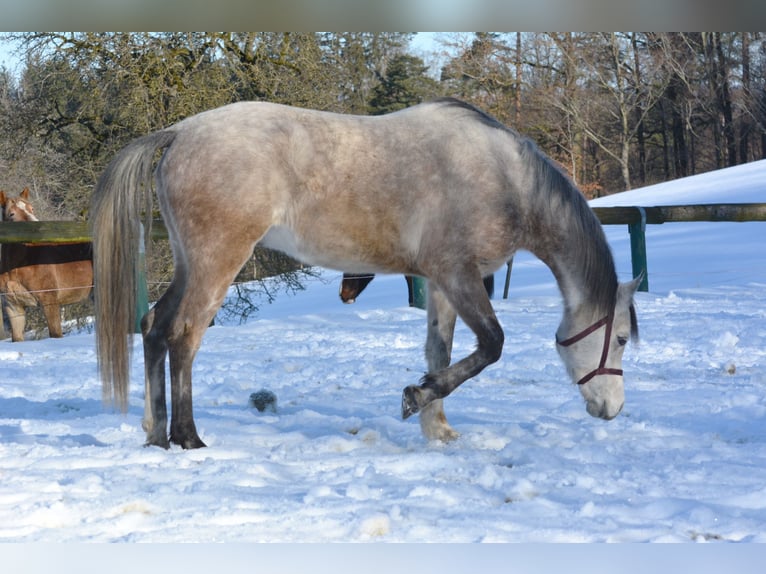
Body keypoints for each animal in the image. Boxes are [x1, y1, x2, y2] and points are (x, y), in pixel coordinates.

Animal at [91, 97, 640, 450]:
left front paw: (434, 426)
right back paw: (187, 437)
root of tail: (180, 132)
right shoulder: (459, 276)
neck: (506, 179)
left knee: (154, 327)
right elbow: (490, 346)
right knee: (183, 337)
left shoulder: (441, 283)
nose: (612, 410)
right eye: (622, 339)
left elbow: (440, 351)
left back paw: (155, 433)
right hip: (216, 262)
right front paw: (416, 398)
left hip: (190, 263)